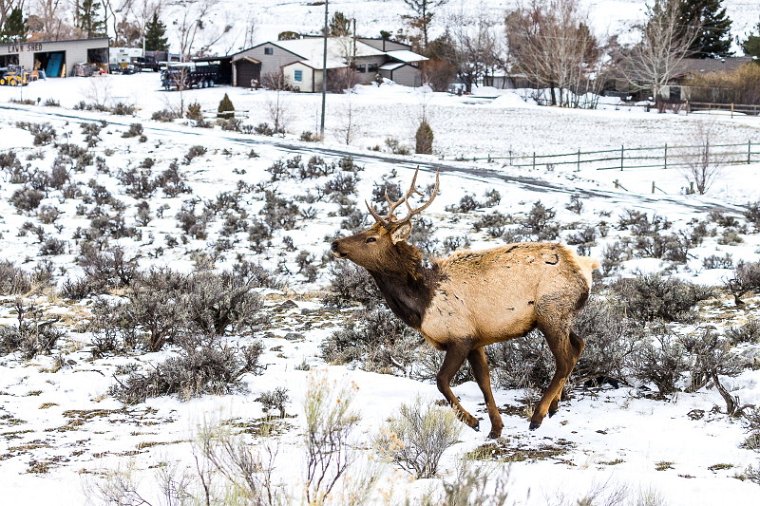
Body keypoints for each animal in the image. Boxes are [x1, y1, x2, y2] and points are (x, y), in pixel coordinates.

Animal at [332, 170, 600, 438]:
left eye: (371, 238)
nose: (335, 244)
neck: (421, 304)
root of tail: (586, 267)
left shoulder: (460, 337)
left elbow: (441, 381)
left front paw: (473, 421)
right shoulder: (476, 340)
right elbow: (484, 382)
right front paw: (496, 427)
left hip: (551, 312)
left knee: (564, 360)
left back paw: (538, 415)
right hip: (560, 316)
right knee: (579, 344)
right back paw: (554, 406)